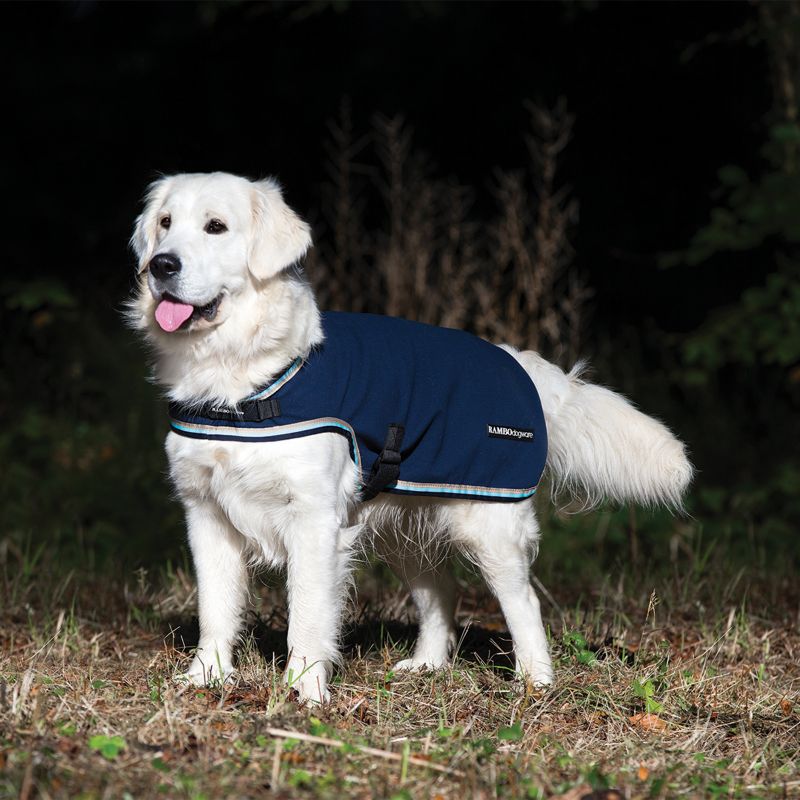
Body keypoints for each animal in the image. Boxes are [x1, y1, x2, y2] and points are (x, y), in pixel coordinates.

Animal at [128, 169, 692, 700]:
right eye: (165, 224)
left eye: (215, 227)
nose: (161, 266)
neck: (242, 384)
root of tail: (515, 361)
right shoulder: (206, 514)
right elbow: (215, 610)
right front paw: (206, 677)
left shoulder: (312, 519)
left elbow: (307, 615)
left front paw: (304, 690)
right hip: (405, 531)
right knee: (440, 594)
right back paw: (427, 664)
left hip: (488, 527)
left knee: (524, 602)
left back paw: (535, 682)